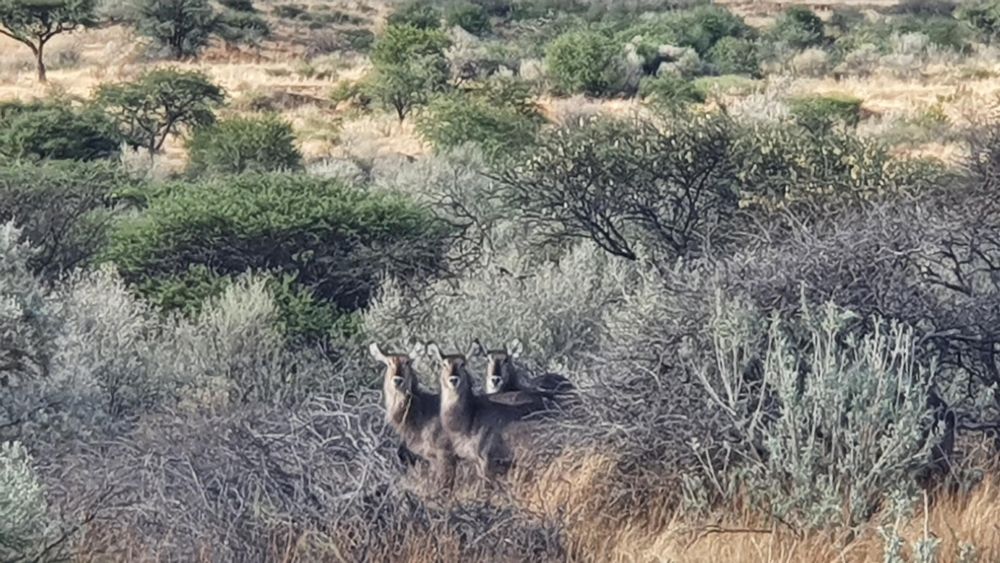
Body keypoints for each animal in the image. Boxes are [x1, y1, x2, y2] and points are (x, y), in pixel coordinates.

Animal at [424, 342, 548, 482]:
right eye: (444, 364)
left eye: (463, 364)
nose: (454, 379)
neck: (470, 415)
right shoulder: (476, 460)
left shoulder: (486, 459)